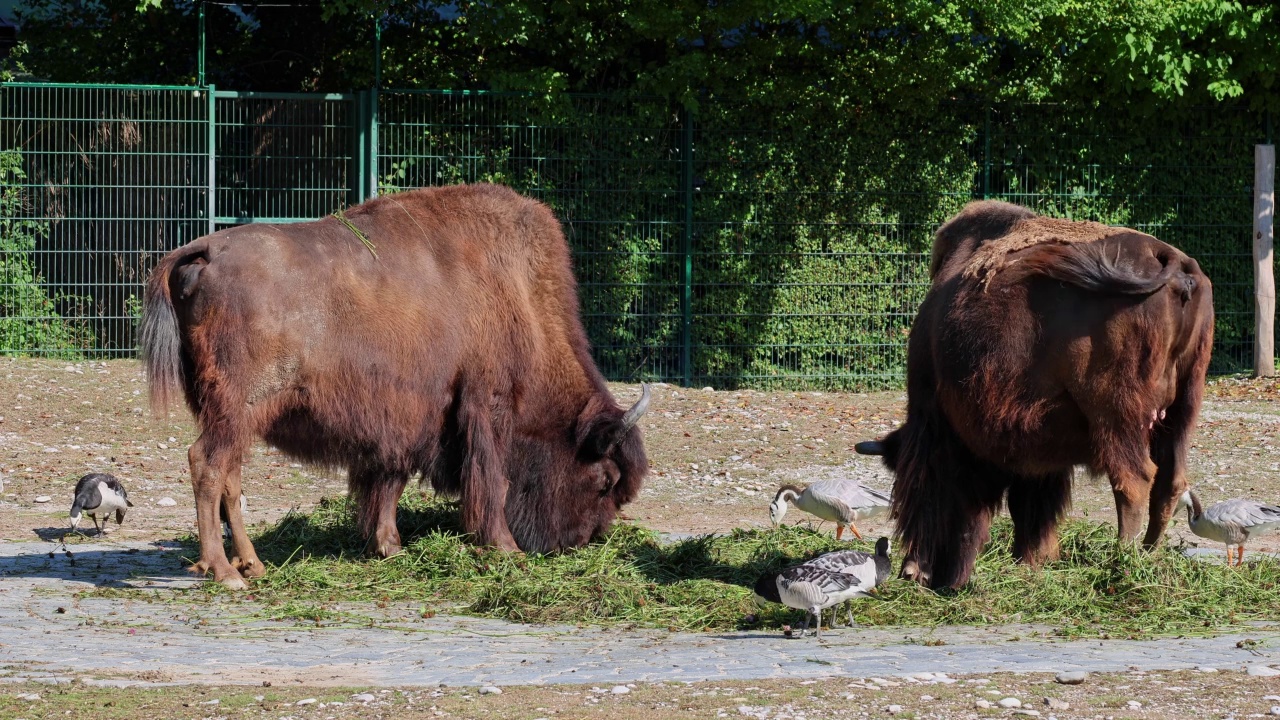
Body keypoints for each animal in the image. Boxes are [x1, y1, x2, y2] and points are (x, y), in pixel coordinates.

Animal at [142, 181, 650, 586]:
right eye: (604, 480)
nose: (584, 540)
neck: (519, 297)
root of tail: (203, 252)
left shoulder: (406, 422)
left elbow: (390, 482)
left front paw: (389, 547)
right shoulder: (485, 407)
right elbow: (493, 482)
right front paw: (506, 549)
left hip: (232, 414)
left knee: (230, 477)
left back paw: (253, 564)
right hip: (238, 407)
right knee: (207, 465)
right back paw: (224, 573)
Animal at [860, 198, 1208, 586]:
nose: (911, 572)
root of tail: (1171, 260)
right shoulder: (1038, 446)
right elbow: (1033, 505)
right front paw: (1035, 559)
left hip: (1116, 415)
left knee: (1133, 480)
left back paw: (1122, 560)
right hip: (1181, 411)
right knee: (1169, 482)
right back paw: (1147, 554)